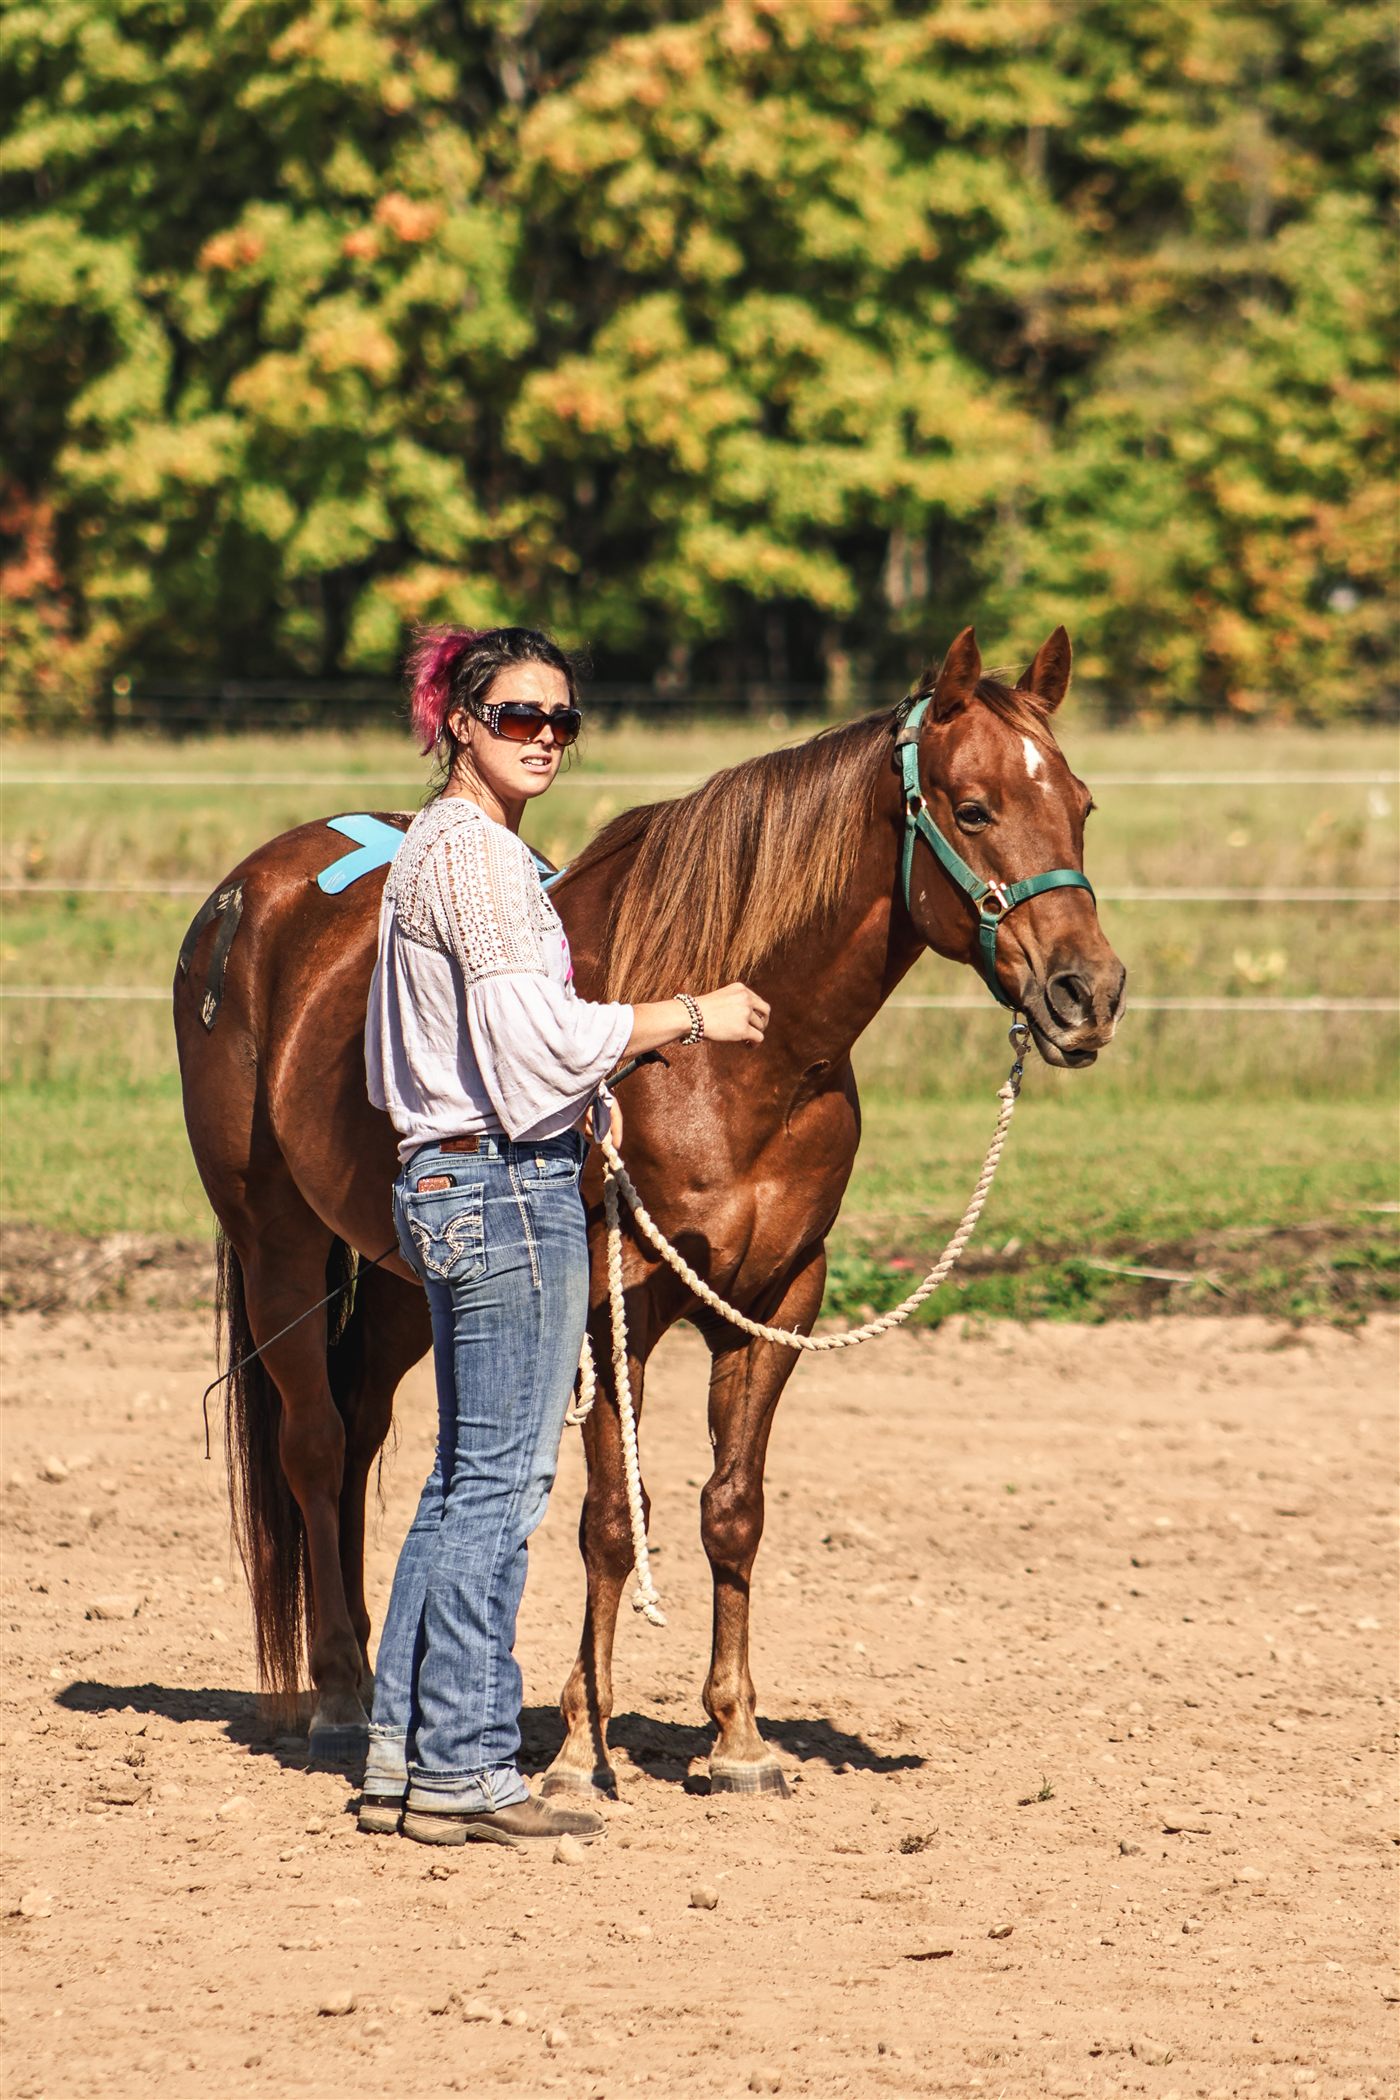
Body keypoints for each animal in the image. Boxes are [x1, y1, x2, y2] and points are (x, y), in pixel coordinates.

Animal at [174, 626, 1125, 1790]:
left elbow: (732, 1510)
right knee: (311, 1445)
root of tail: (244, 896)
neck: (738, 1064)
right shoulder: (606, 1306)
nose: (1088, 994)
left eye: (1080, 805)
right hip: (275, 1242)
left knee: (359, 1438)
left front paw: (738, 1736)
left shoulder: (775, 1299)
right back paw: (344, 1698)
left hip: (407, 1278)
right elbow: (609, 1524)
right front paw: (584, 1743)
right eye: (975, 808)